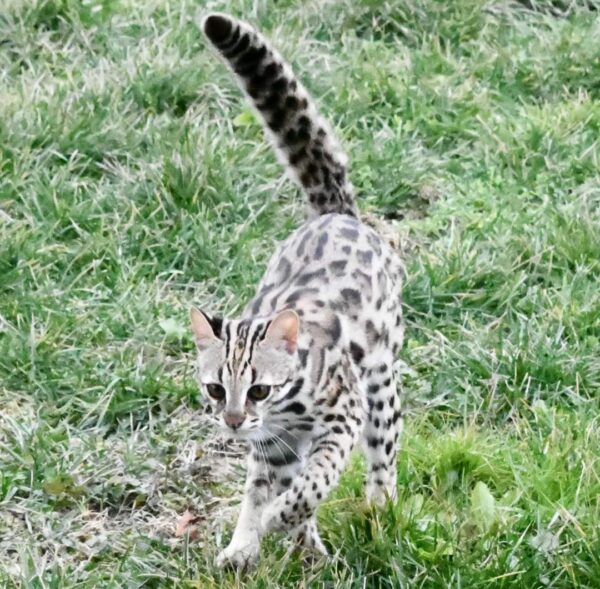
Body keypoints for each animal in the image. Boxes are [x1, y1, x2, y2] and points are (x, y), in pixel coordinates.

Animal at [191, 11, 404, 568]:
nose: (233, 422)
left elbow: (313, 483)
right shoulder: (274, 445)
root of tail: (334, 213)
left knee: (384, 456)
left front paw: (278, 521)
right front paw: (247, 543)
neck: (285, 408)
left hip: (380, 384)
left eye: (259, 388)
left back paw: (380, 508)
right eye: (215, 388)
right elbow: (262, 490)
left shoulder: (341, 418)